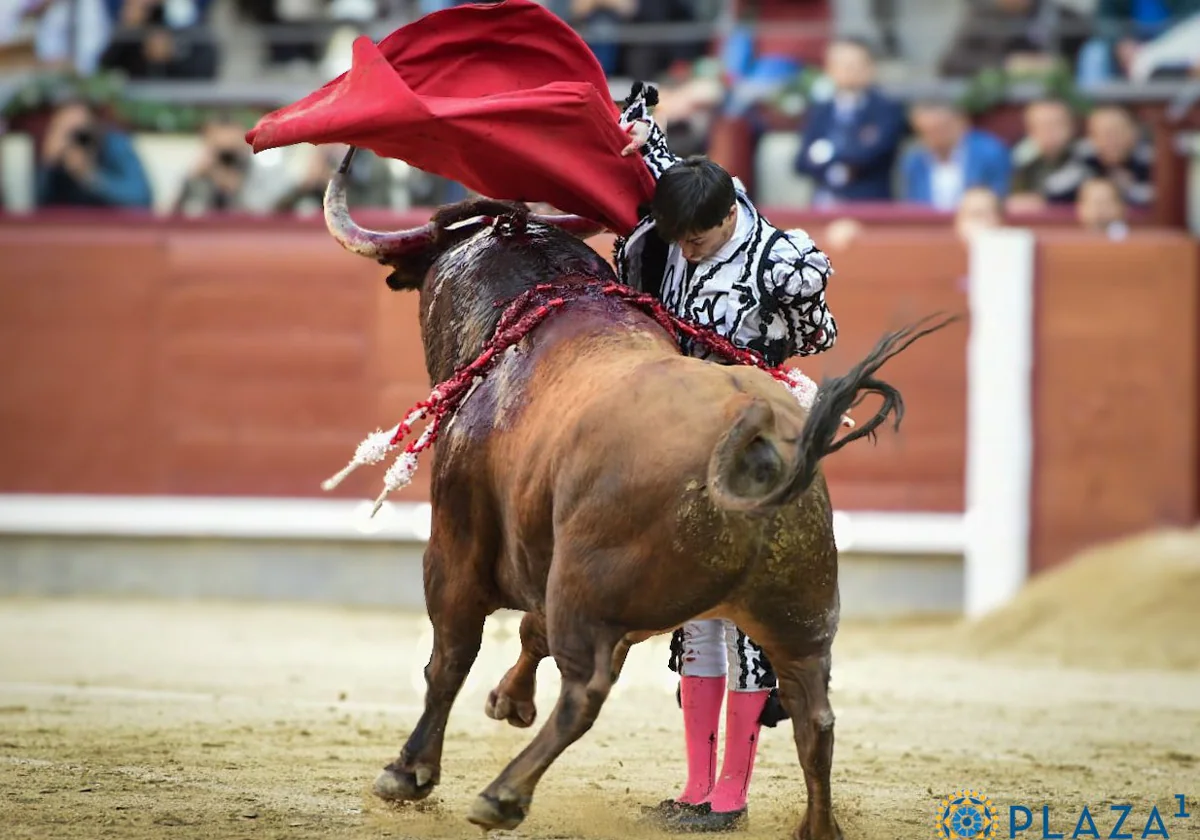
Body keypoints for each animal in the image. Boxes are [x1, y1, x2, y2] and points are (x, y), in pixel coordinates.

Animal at [321, 149, 955, 840]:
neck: (545, 303)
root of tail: (755, 437)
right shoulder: (557, 564)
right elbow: (529, 634)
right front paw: (508, 701)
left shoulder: (457, 544)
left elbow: (449, 658)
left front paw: (408, 772)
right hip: (800, 614)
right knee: (812, 714)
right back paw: (811, 826)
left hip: (592, 590)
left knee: (585, 691)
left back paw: (504, 794)